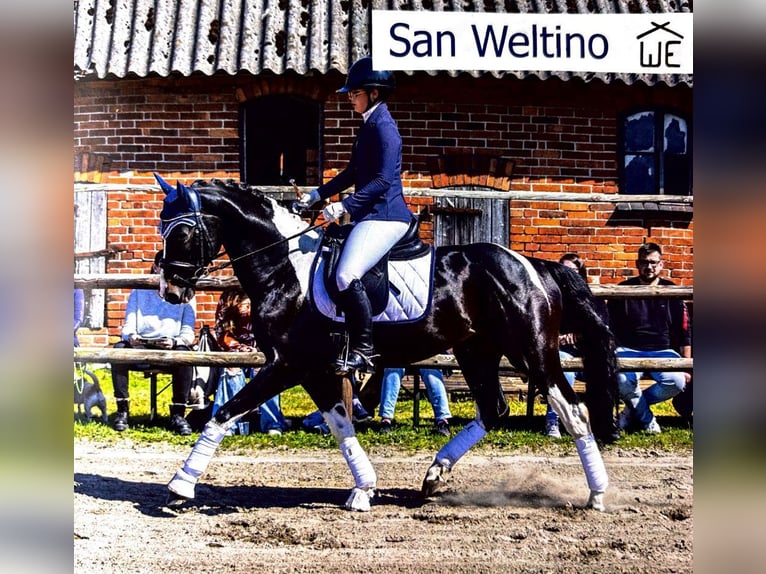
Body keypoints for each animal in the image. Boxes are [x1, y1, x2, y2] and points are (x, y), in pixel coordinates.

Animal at [156, 176, 620, 512]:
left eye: (181, 232)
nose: (170, 290)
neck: (287, 268)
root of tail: (536, 266)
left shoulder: (287, 364)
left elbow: (223, 414)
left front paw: (180, 485)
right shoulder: (315, 368)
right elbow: (341, 426)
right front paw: (364, 489)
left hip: (532, 353)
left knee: (573, 412)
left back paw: (598, 496)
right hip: (477, 351)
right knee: (493, 408)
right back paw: (434, 475)